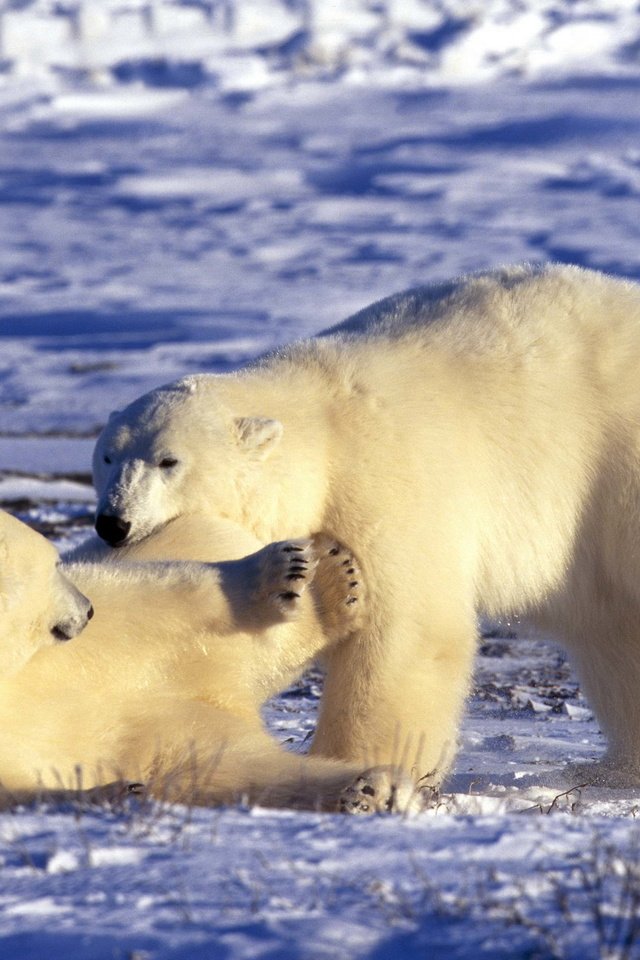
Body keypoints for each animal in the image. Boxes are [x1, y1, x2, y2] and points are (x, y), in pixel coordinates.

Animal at [90, 264, 640, 788]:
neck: (322, 428)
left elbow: (406, 630)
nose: (112, 523)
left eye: (169, 461)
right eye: (107, 457)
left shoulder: (385, 483)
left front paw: (361, 763)